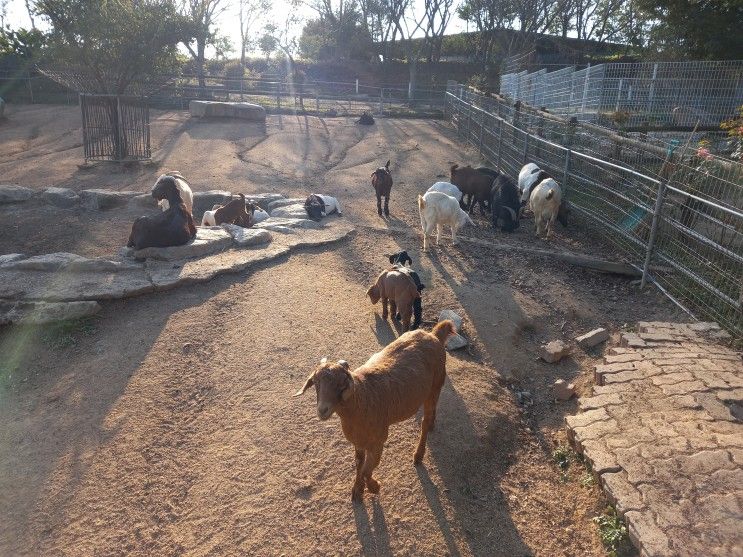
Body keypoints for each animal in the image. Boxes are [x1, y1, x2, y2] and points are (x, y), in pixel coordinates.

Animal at [294, 320, 456, 502]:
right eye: (315, 382)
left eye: (342, 384)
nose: (323, 410)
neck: (360, 402)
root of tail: (433, 334)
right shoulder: (358, 441)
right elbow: (359, 464)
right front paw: (357, 490)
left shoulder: (378, 441)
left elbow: (366, 470)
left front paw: (374, 487)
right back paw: (432, 426)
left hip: (435, 385)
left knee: (424, 421)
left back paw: (418, 455)